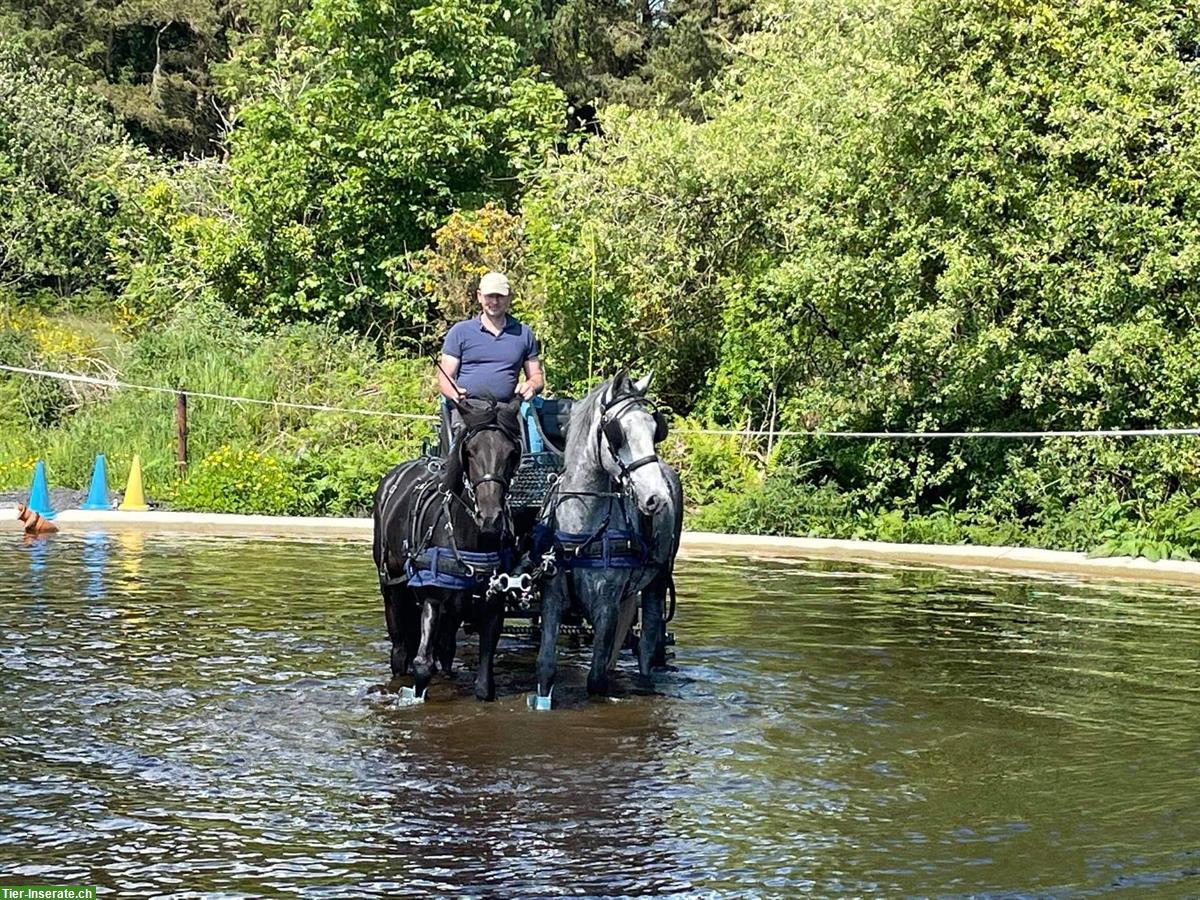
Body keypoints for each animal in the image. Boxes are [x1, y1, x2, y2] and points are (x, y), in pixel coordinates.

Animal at [372, 400, 523, 705]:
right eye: (470, 451)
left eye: (511, 453)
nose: (491, 518)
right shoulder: (432, 597)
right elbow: (421, 666)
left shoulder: (493, 604)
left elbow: (484, 681)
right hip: (392, 588)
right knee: (401, 650)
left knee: (446, 649)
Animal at [535, 374, 686, 705]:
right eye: (619, 433)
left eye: (655, 429)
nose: (656, 498)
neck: (580, 528)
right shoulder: (552, 595)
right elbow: (546, 667)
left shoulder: (606, 603)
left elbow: (596, 679)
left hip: (657, 578)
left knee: (648, 641)